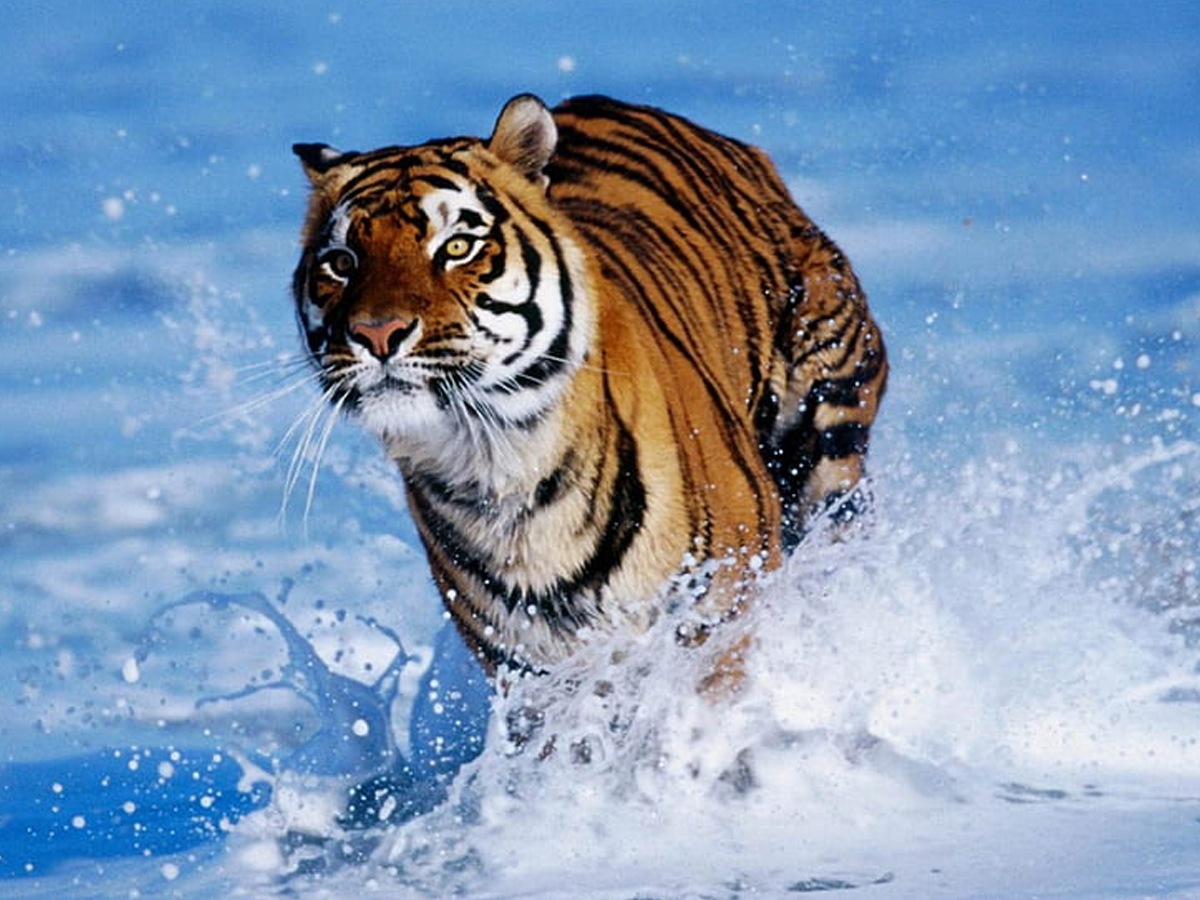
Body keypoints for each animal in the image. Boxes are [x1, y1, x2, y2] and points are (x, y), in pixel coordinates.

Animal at [291, 93, 887, 684]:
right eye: (340, 263)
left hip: (828, 431)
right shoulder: (532, 674)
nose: (376, 332)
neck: (499, 468)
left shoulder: (718, 620)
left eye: (457, 246)